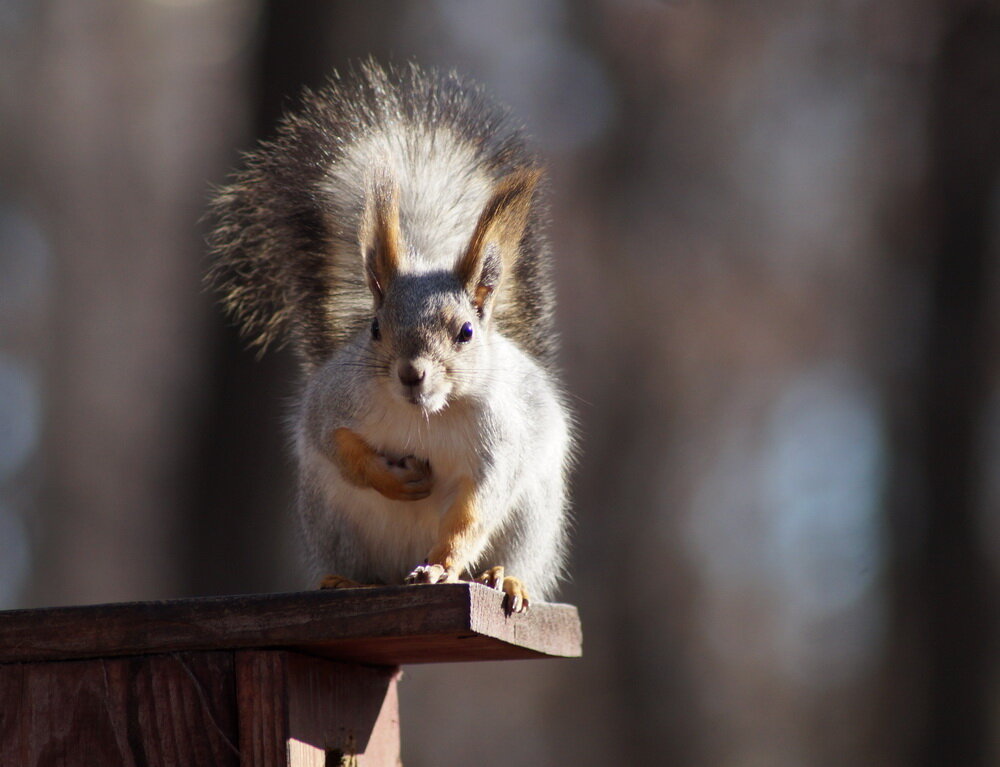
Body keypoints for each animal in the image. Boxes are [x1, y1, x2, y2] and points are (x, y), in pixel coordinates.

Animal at [207, 61, 576, 612]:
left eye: (466, 332)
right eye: (375, 328)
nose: (411, 374)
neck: (425, 416)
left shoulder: (498, 446)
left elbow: (471, 513)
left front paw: (442, 566)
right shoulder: (333, 401)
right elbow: (335, 443)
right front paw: (392, 478)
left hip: (533, 521)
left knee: (511, 556)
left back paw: (503, 580)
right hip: (331, 520)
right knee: (365, 567)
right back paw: (349, 582)